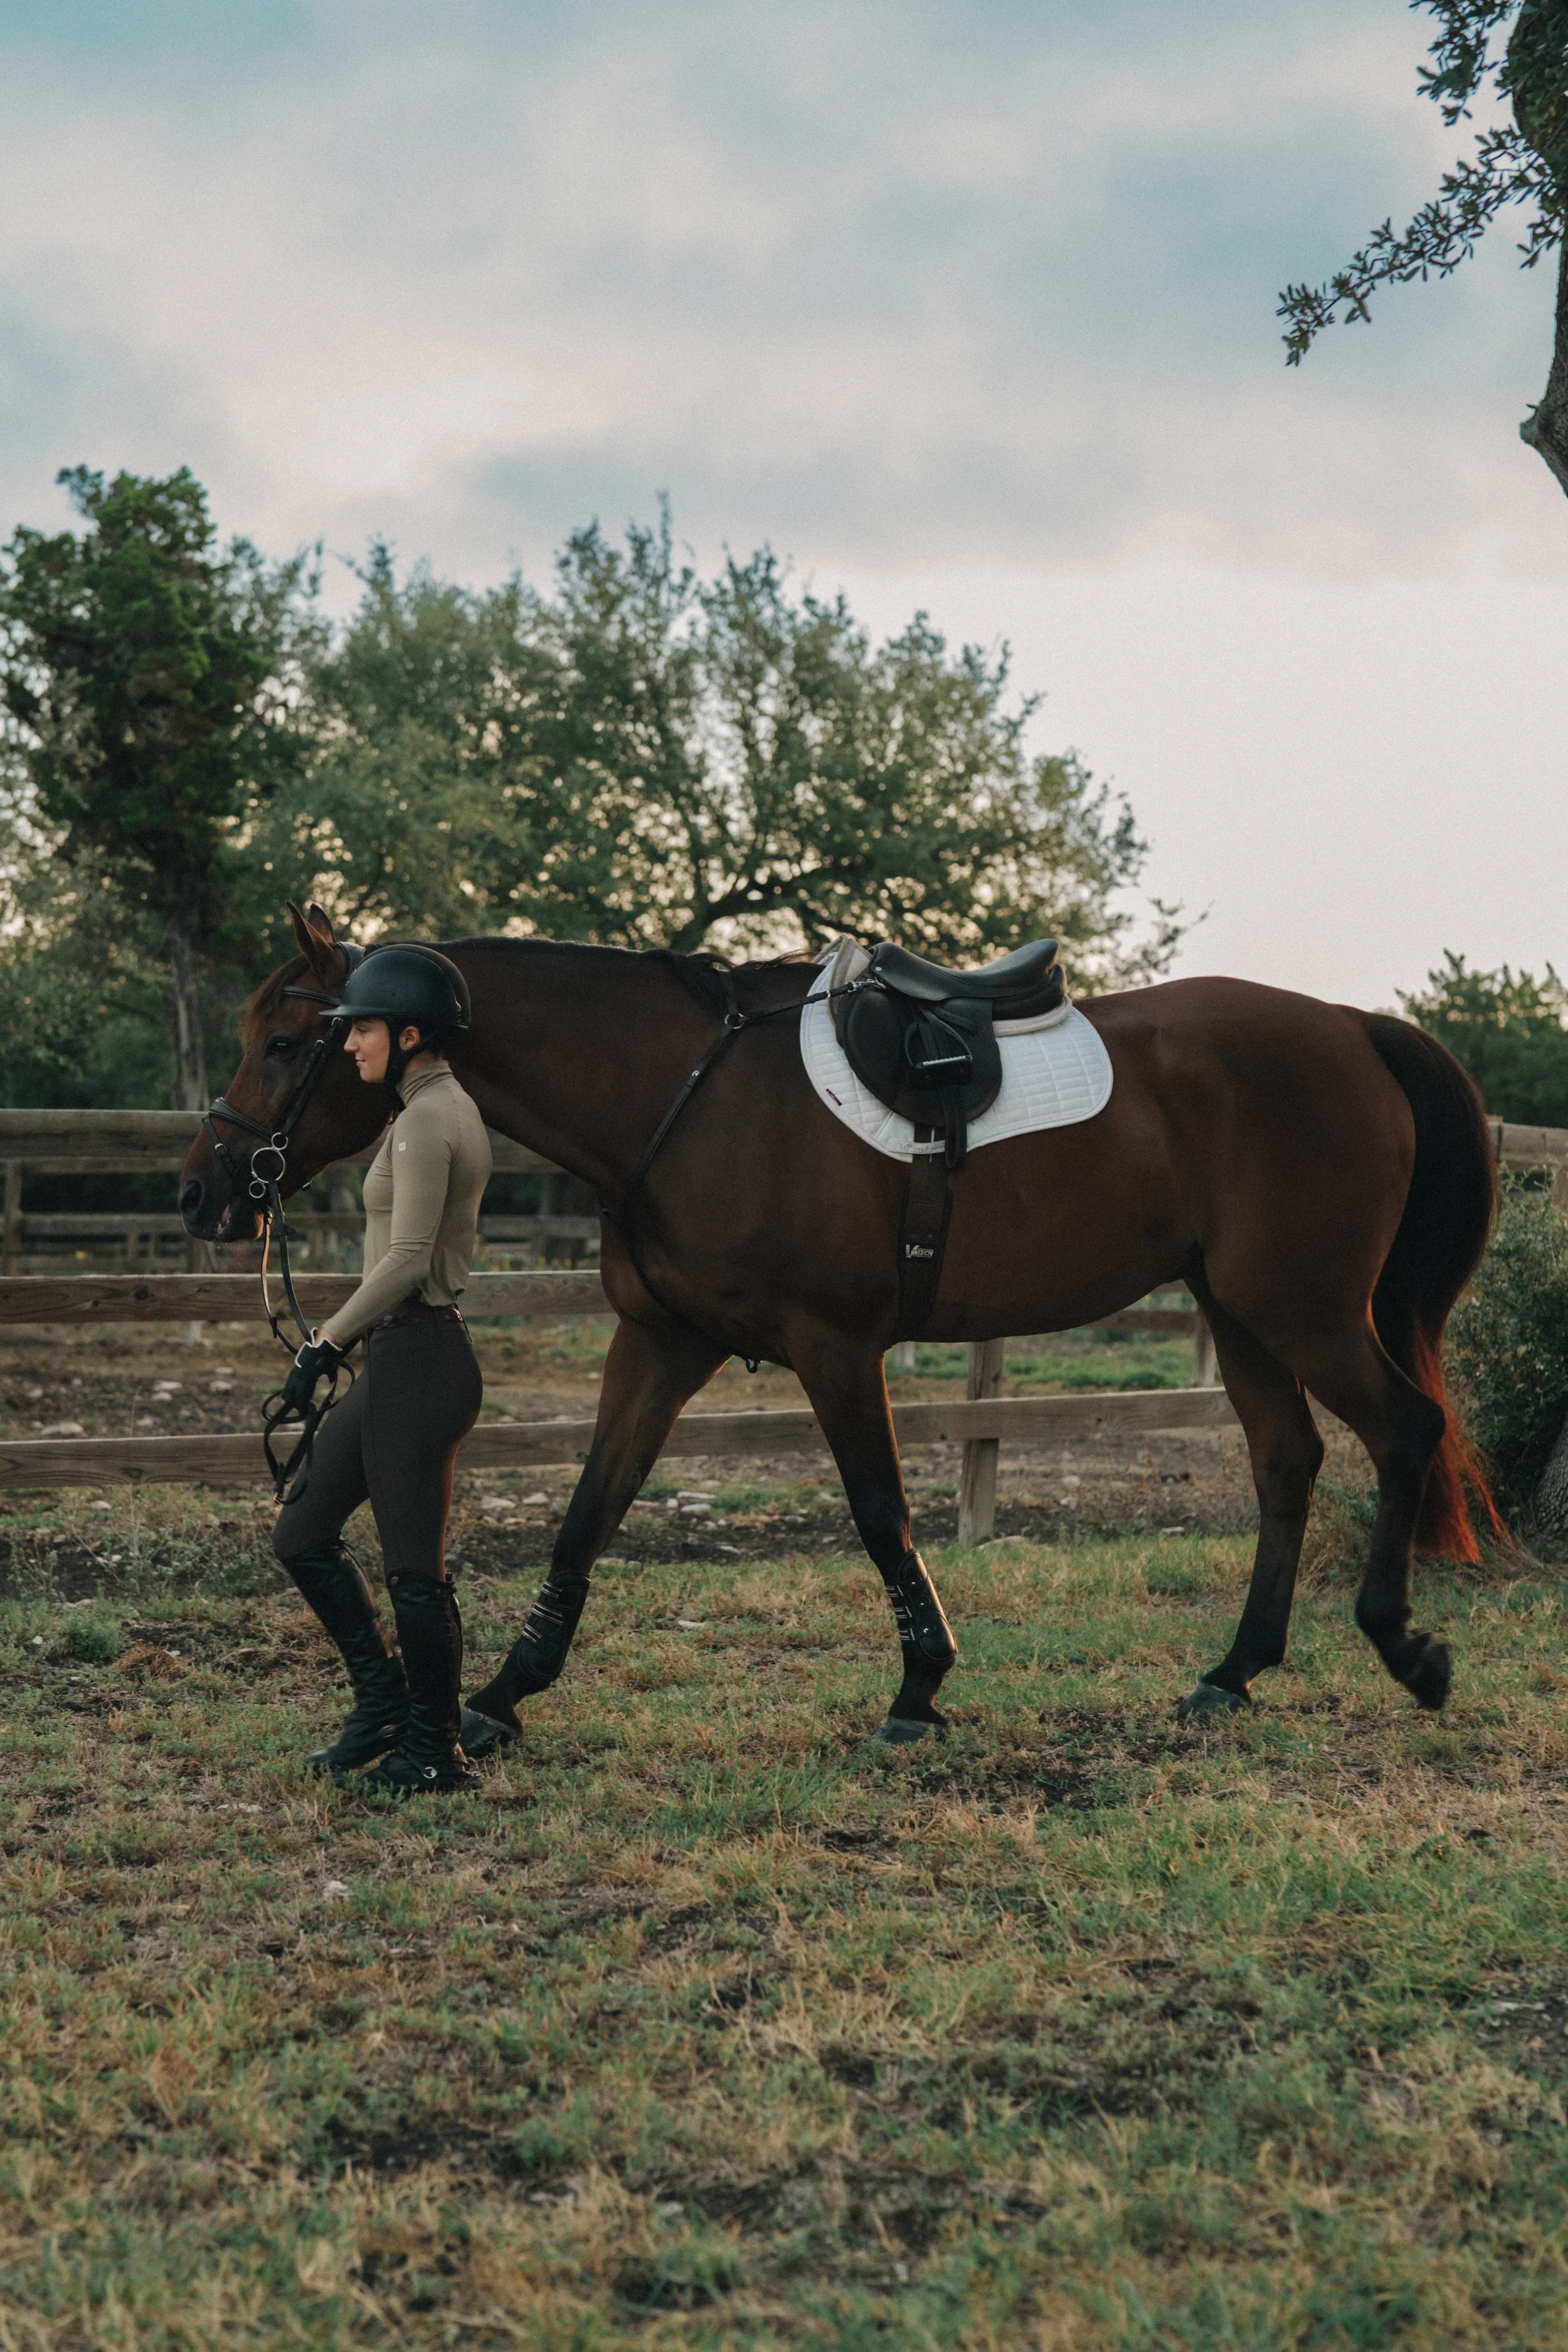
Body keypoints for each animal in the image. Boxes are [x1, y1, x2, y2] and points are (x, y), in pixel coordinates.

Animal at [181, 903, 1499, 1750]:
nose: (206, 1193)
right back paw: (1233, 1674)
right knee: (1289, 1461)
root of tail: (1352, 1024)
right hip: (1243, 1311)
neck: (685, 1095)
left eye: (289, 1042)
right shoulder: (661, 1344)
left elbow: (879, 1512)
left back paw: (1405, 1646)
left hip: (1303, 1308)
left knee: (1403, 1431)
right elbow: (588, 1512)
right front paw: (505, 1692)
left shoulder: (833, 1348)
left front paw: (919, 1689)